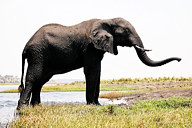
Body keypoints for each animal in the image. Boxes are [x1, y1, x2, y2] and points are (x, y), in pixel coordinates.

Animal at [16, 17, 182, 110]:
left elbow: (98, 72)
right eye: (126, 31)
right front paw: (92, 105)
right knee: (33, 79)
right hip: (37, 54)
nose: (180, 59)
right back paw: (22, 109)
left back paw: (36, 106)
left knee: (40, 81)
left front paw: (97, 104)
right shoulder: (90, 47)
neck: (107, 20)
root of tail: (25, 46)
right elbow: (92, 71)